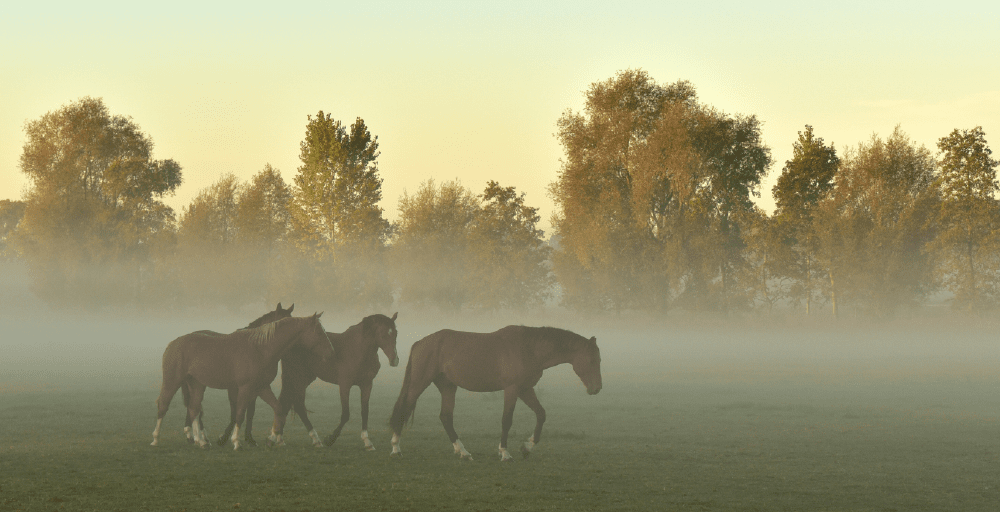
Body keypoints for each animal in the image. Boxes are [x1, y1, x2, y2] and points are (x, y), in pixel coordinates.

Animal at [151, 310, 332, 450]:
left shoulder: (262, 387)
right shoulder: (245, 388)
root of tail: (173, 344)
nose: (331, 351)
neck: (261, 348)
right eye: (318, 332)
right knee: (163, 405)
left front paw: (274, 438)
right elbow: (239, 414)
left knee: (194, 409)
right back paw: (156, 439)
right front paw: (236, 442)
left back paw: (202, 442)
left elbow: (278, 409)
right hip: (172, 381)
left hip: (196, 384)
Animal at [262, 312, 402, 448]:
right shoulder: (345, 385)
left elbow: (365, 412)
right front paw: (330, 439)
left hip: (304, 379)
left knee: (290, 404)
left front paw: (367, 441)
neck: (358, 350)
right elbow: (345, 414)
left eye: (396, 333)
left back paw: (282, 438)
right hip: (296, 378)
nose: (394, 360)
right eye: (382, 335)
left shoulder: (367, 384)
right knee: (294, 405)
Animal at [384, 326, 600, 462]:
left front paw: (527, 447)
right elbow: (506, 420)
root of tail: (421, 342)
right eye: (592, 360)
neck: (528, 348)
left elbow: (541, 414)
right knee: (404, 410)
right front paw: (505, 453)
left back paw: (463, 452)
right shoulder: (512, 389)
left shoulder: (525, 389)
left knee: (445, 417)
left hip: (448, 387)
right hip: (419, 382)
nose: (597, 388)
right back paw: (395, 448)